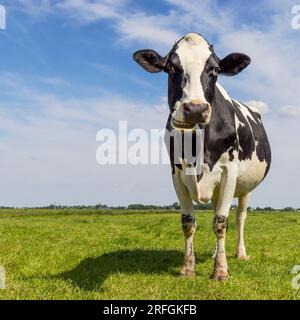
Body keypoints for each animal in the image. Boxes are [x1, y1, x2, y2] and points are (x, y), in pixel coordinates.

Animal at [132, 32, 270, 280]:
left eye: (215, 69)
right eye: (171, 67)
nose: (195, 108)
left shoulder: (229, 172)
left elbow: (221, 223)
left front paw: (221, 271)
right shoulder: (177, 174)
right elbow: (188, 223)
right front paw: (188, 268)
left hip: (246, 187)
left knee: (239, 217)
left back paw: (240, 254)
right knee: (217, 211)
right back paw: (216, 253)